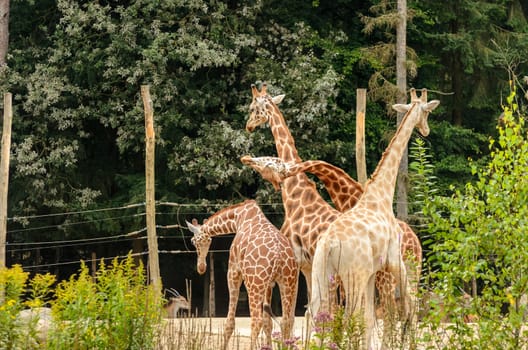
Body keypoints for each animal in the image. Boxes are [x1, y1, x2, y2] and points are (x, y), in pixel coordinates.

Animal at [188, 200, 300, 350]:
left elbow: (229, 323)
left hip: (255, 285)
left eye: (193, 241)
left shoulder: (233, 271)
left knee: (256, 321)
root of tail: (278, 255)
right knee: (287, 321)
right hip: (288, 282)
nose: (201, 267)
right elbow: (268, 323)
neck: (238, 218)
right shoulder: (269, 285)